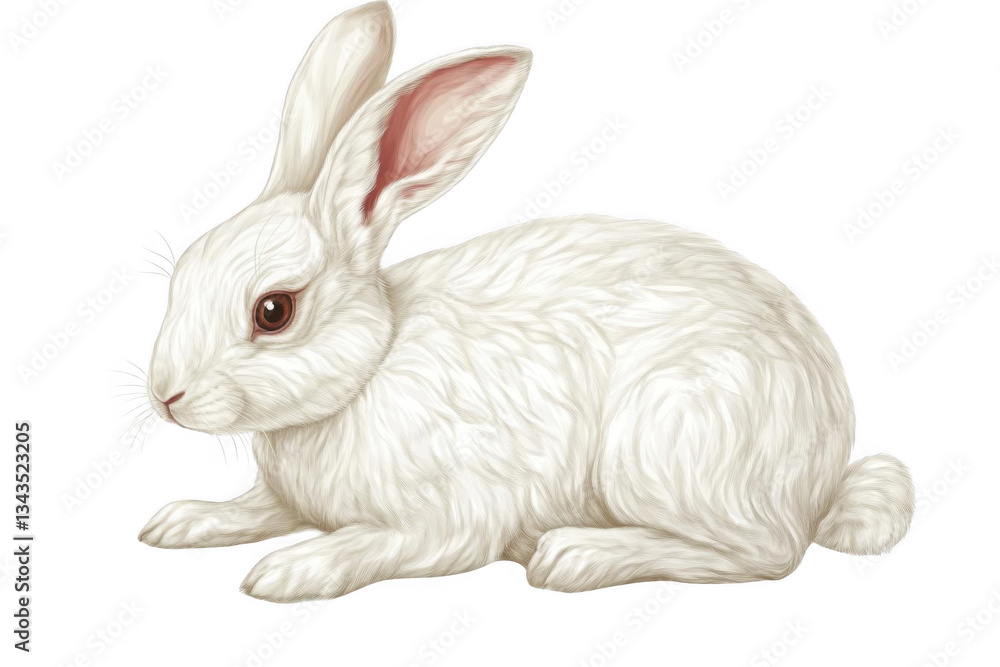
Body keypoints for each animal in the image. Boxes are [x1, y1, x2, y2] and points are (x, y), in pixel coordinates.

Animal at [138, 1, 915, 602]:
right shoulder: (282, 498)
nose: (165, 397)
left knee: (768, 551)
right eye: (181, 277)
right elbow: (253, 507)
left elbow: (375, 544)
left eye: (273, 311)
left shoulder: (446, 521)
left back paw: (577, 555)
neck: (371, 365)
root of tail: (825, 474)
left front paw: (291, 569)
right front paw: (180, 521)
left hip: (665, 440)